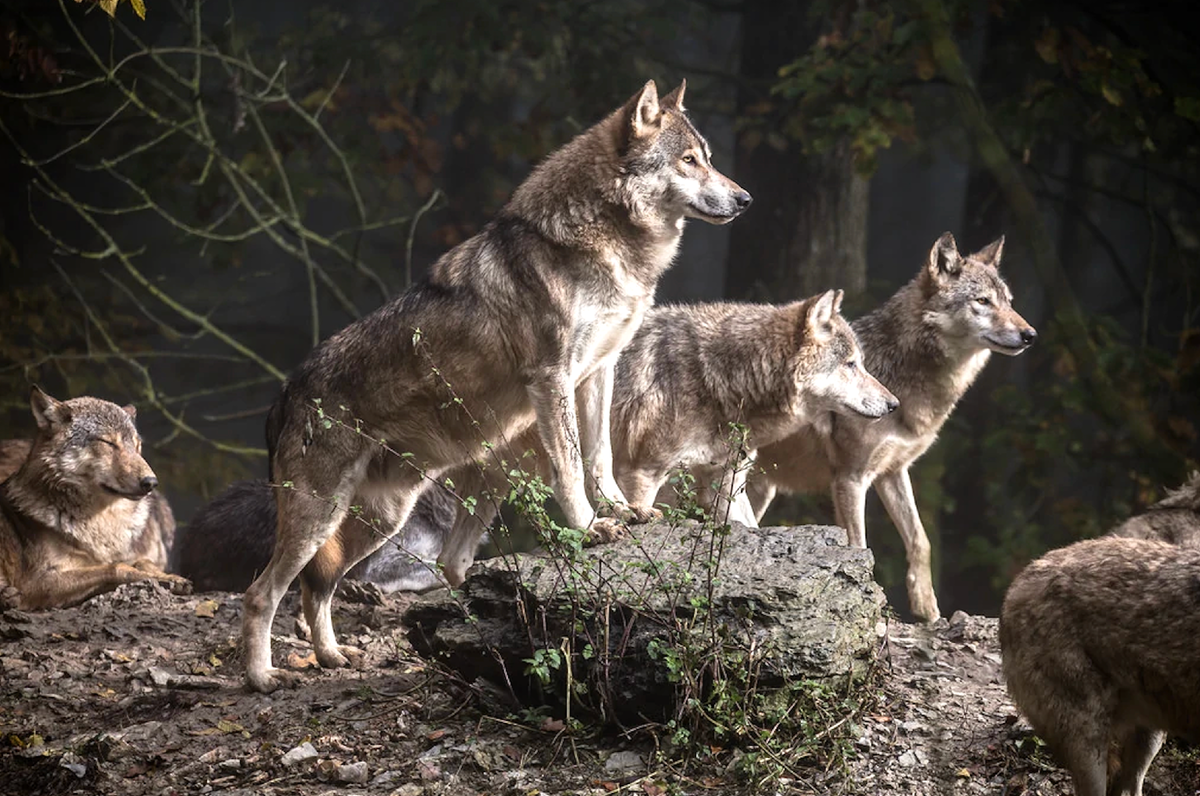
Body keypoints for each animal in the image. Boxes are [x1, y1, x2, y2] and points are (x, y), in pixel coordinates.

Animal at [0, 388, 189, 612]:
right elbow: (117, 568)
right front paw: (156, 579)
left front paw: (170, 578)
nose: (151, 482)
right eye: (109, 443)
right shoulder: (36, 582)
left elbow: (142, 562)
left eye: (137, 446)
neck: (99, 523)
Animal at [242, 78, 748, 696]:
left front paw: (622, 510)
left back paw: (333, 658)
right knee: (261, 593)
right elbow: (569, 467)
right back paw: (261, 677)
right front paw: (589, 526)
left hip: (379, 519)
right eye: (690, 160)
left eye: (709, 158)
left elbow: (599, 456)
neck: (603, 243)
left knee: (319, 586)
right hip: (321, 515)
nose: (746, 199)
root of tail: (283, 394)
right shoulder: (552, 378)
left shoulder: (599, 370)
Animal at [720, 234, 1041, 624]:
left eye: (1009, 301)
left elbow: (920, 540)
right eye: (983, 301)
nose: (1030, 334)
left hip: (759, 489)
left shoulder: (893, 471)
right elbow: (859, 546)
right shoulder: (850, 478)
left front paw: (927, 608)